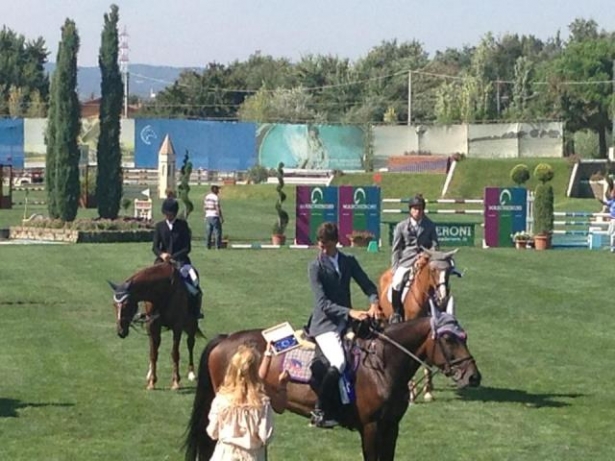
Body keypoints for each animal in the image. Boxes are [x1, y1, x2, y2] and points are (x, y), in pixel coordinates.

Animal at [183, 306, 482, 460]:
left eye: (465, 336)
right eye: (448, 338)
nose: (473, 376)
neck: (382, 364)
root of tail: (226, 339)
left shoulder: (391, 427)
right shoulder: (371, 427)